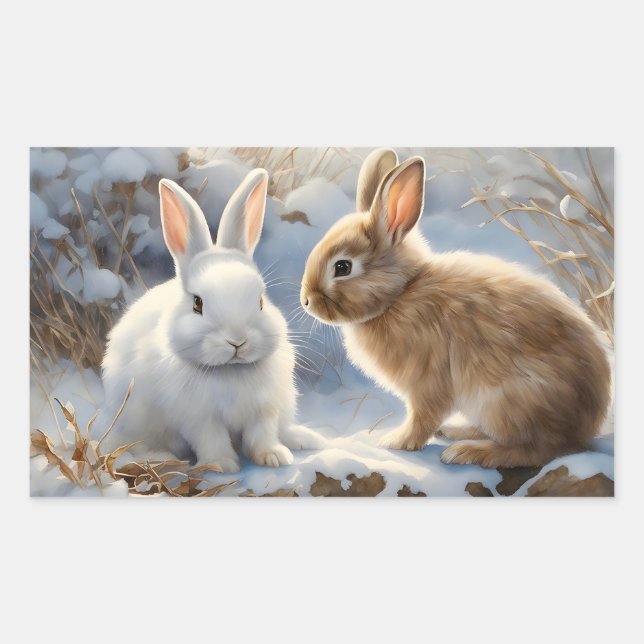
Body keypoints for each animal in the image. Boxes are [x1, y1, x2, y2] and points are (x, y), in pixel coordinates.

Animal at [100, 169, 325, 472]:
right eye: (197, 304)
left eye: (261, 301)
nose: (237, 341)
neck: (231, 371)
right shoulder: (198, 417)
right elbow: (211, 438)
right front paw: (221, 465)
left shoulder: (264, 409)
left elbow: (262, 436)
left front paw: (274, 457)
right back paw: (159, 457)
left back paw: (305, 439)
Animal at [299, 148, 612, 468]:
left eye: (342, 267)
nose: (306, 300)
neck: (400, 293)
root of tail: (588, 425)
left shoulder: (428, 382)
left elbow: (422, 418)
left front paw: (396, 441)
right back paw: (457, 431)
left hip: (510, 401)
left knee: (534, 450)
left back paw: (467, 451)